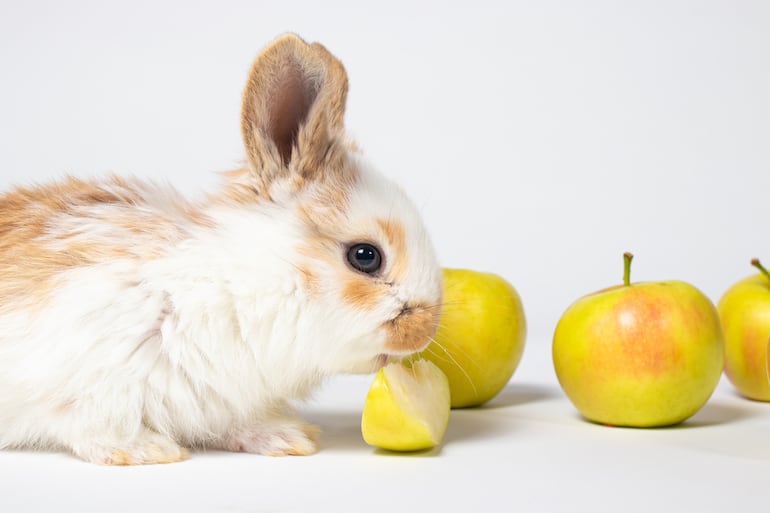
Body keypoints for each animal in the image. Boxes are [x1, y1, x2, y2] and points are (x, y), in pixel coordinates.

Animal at [0, 33, 442, 465]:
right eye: (365, 256)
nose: (423, 334)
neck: (232, 290)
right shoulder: (80, 374)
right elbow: (86, 424)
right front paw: (145, 450)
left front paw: (286, 438)